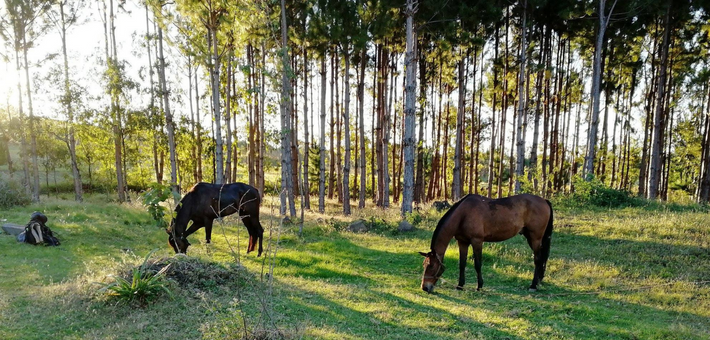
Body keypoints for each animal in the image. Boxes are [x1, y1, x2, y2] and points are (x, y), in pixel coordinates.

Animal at [420, 194, 552, 292]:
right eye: (424, 265)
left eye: (431, 266)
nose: (425, 287)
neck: (463, 214)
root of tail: (544, 201)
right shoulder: (462, 242)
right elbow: (462, 264)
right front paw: (460, 285)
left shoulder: (477, 241)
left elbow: (478, 264)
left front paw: (479, 286)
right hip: (531, 237)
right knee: (541, 259)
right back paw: (538, 281)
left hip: (535, 238)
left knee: (538, 260)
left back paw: (533, 286)